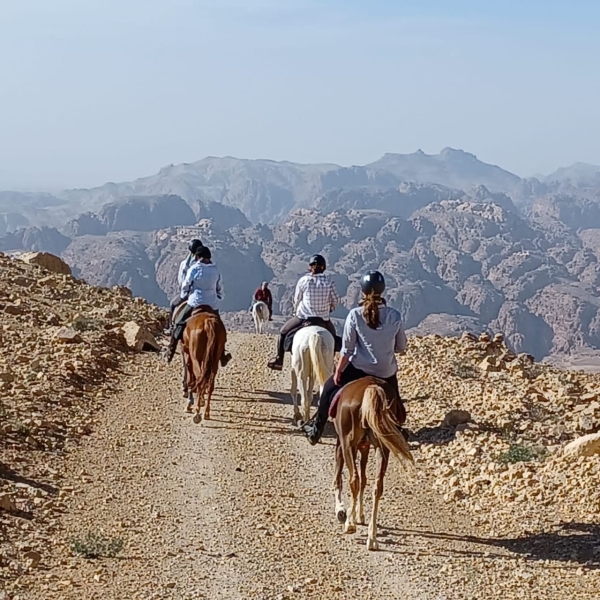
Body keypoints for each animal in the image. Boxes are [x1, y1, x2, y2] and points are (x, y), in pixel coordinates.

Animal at [330, 378, 414, 552]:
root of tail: (371, 387)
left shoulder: (342, 445)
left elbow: (340, 477)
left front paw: (343, 511)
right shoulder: (365, 447)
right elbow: (364, 480)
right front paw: (360, 514)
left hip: (348, 444)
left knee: (354, 479)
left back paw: (350, 525)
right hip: (382, 448)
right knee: (377, 486)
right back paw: (372, 538)